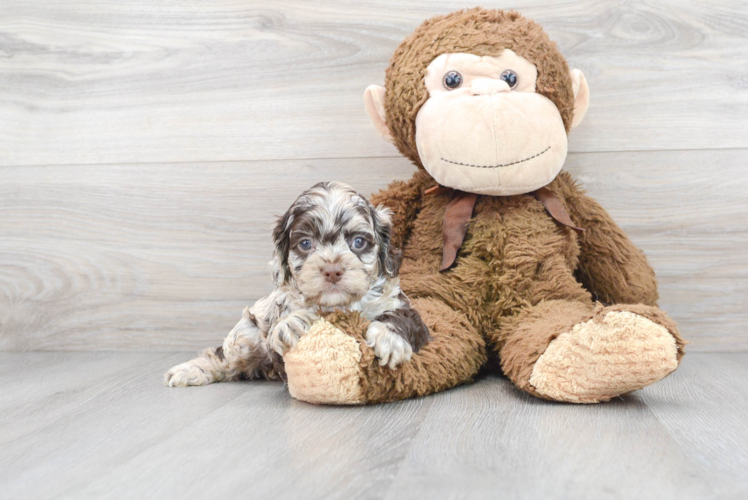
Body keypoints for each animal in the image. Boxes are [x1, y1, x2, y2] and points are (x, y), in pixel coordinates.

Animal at [166, 181, 430, 386]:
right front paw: (291, 322)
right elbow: (286, 322)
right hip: (245, 336)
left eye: (358, 242)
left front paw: (389, 338)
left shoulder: (404, 309)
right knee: (223, 358)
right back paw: (189, 371)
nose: (332, 270)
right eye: (305, 243)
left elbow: (401, 317)